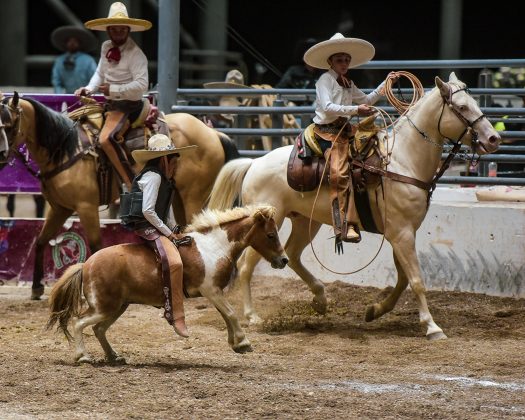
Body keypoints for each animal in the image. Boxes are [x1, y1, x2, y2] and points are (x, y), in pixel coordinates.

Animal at [0, 93, 239, 300]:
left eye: (9, 126)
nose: (1, 155)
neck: (65, 149)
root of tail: (213, 133)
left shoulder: (85, 206)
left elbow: (96, 244)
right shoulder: (60, 208)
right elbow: (41, 241)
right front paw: (36, 287)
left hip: (193, 196)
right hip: (181, 197)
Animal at [47, 205, 288, 362]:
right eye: (270, 235)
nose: (284, 260)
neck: (213, 247)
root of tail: (87, 263)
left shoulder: (215, 292)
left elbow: (226, 315)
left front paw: (235, 342)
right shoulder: (211, 290)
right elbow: (230, 313)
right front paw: (243, 342)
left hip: (117, 307)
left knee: (99, 329)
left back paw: (114, 356)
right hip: (103, 307)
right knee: (80, 322)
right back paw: (83, 356)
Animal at [206, 74, 500, 340]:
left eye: (474, 103)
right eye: (461, 107)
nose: (494, 138)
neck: (402, 161)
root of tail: (254, 163)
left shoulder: (401, 233)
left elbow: (403, 279)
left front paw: (375, 310)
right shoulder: (402, 233)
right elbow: (416, 280)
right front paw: (432, 326)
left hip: (306, 221)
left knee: (293, 255)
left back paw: (321, 299)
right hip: (271, 221)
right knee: (246, 265)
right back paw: (252, 315)